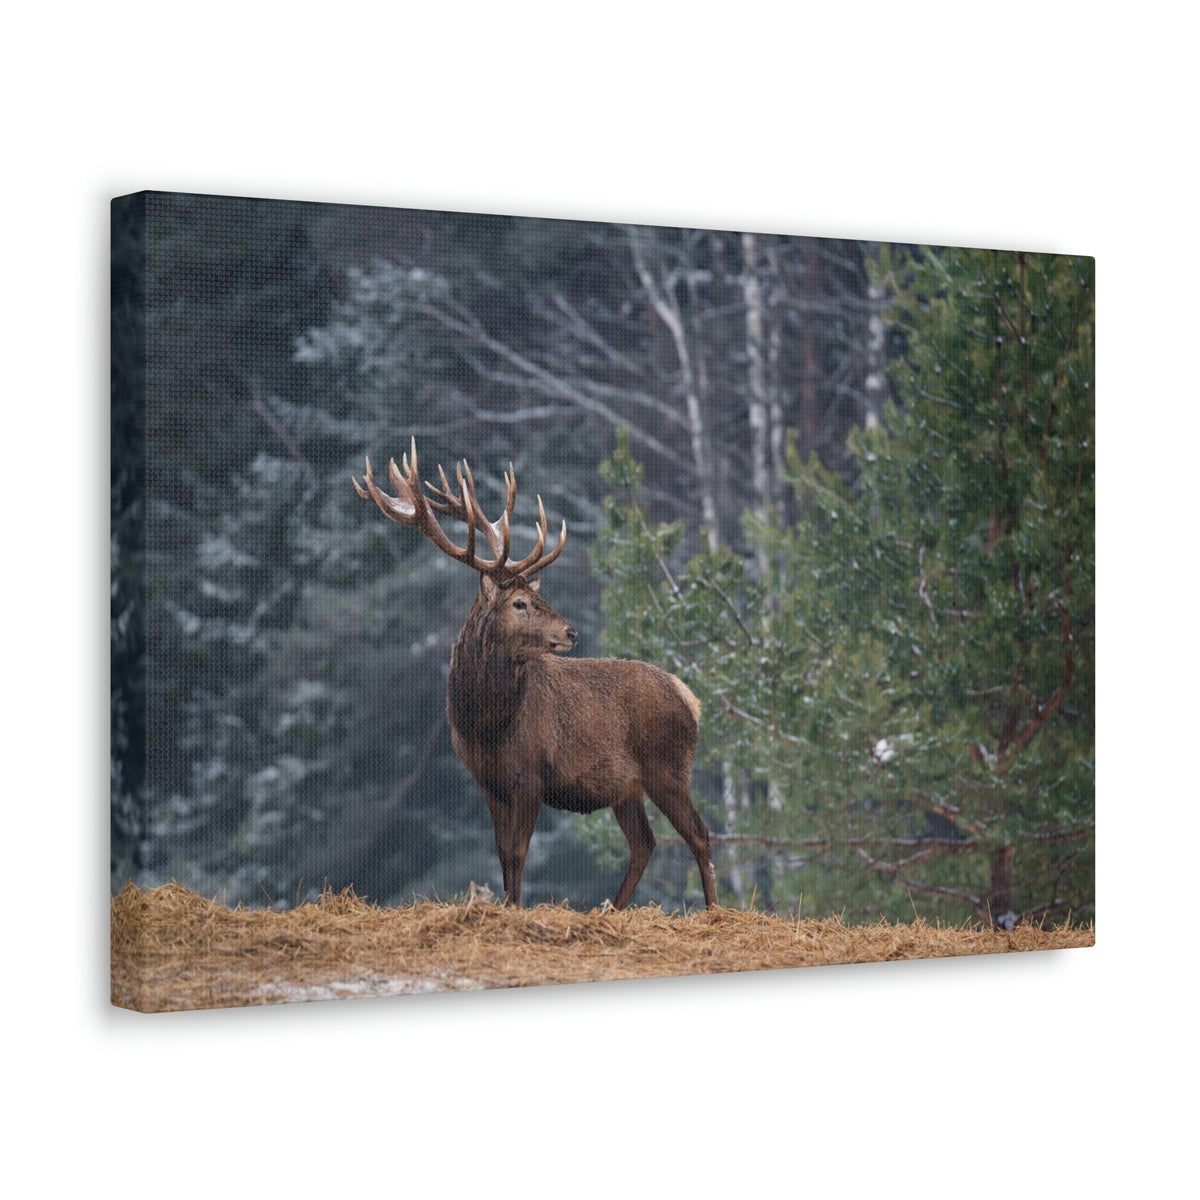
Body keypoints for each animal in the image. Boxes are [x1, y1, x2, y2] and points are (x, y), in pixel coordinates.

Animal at [353, 439, 719, 911]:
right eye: (520, 603)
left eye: (532, 597)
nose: (571, 632)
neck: (484, 725)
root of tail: (690, 696)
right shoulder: (488, 783)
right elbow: (501, 852)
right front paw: (508, 904)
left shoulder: (531, 774)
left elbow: (518, 851)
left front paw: (515, 908)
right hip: (627, 787)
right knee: (645, 842)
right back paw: (612, 909)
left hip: (668, 765)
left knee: (698, 833)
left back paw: (714, 911)